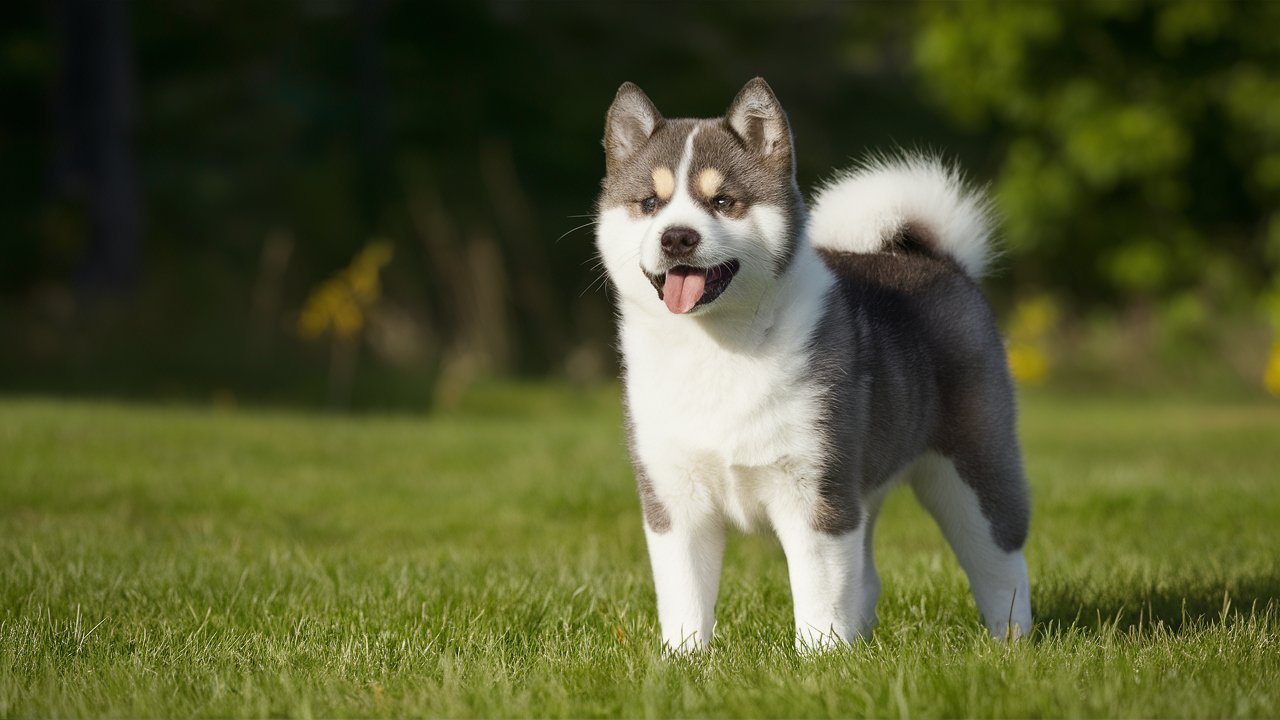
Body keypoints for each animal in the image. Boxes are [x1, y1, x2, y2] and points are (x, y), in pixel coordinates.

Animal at [593, 78, 1034, 650]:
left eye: (723, 202)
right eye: (650, 202)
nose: (677, 237)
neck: (718, 346)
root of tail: (935, 260)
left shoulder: (816, 494)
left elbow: (820, 600)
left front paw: (820, 661)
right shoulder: (675, 499)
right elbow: (685, 601)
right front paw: (684, 660)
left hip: (974, 464)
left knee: (1001, 562)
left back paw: (1012, 642)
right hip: (869, 483)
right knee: (868, 578)